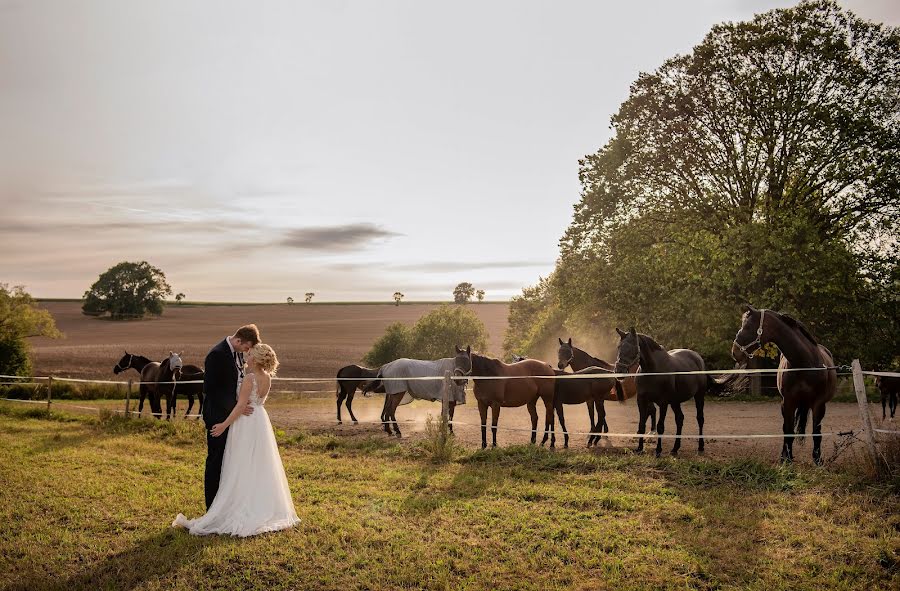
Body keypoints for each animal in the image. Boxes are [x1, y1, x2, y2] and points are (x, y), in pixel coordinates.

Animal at [612, 328, 712, 458]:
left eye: (633, 348)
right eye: (619, 346)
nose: (619, 370)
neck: (652, 371)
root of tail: (697, 357)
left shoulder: (663, 403)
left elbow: (660, 427)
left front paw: (658, 451)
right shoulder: (642, 400)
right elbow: (641, 425)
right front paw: (639, 449)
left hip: (699, 396)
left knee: (700, 419)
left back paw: (700, 447)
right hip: (675, 402)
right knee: (680, 419)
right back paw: (675, 448)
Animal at [732, 306, 836, 468]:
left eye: (747, 326)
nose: (734, 352)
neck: (804, 363)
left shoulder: (819, 404)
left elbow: (816, 432)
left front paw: (818, 460)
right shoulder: (787, 402)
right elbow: (788, 430)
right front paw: (785, 459)